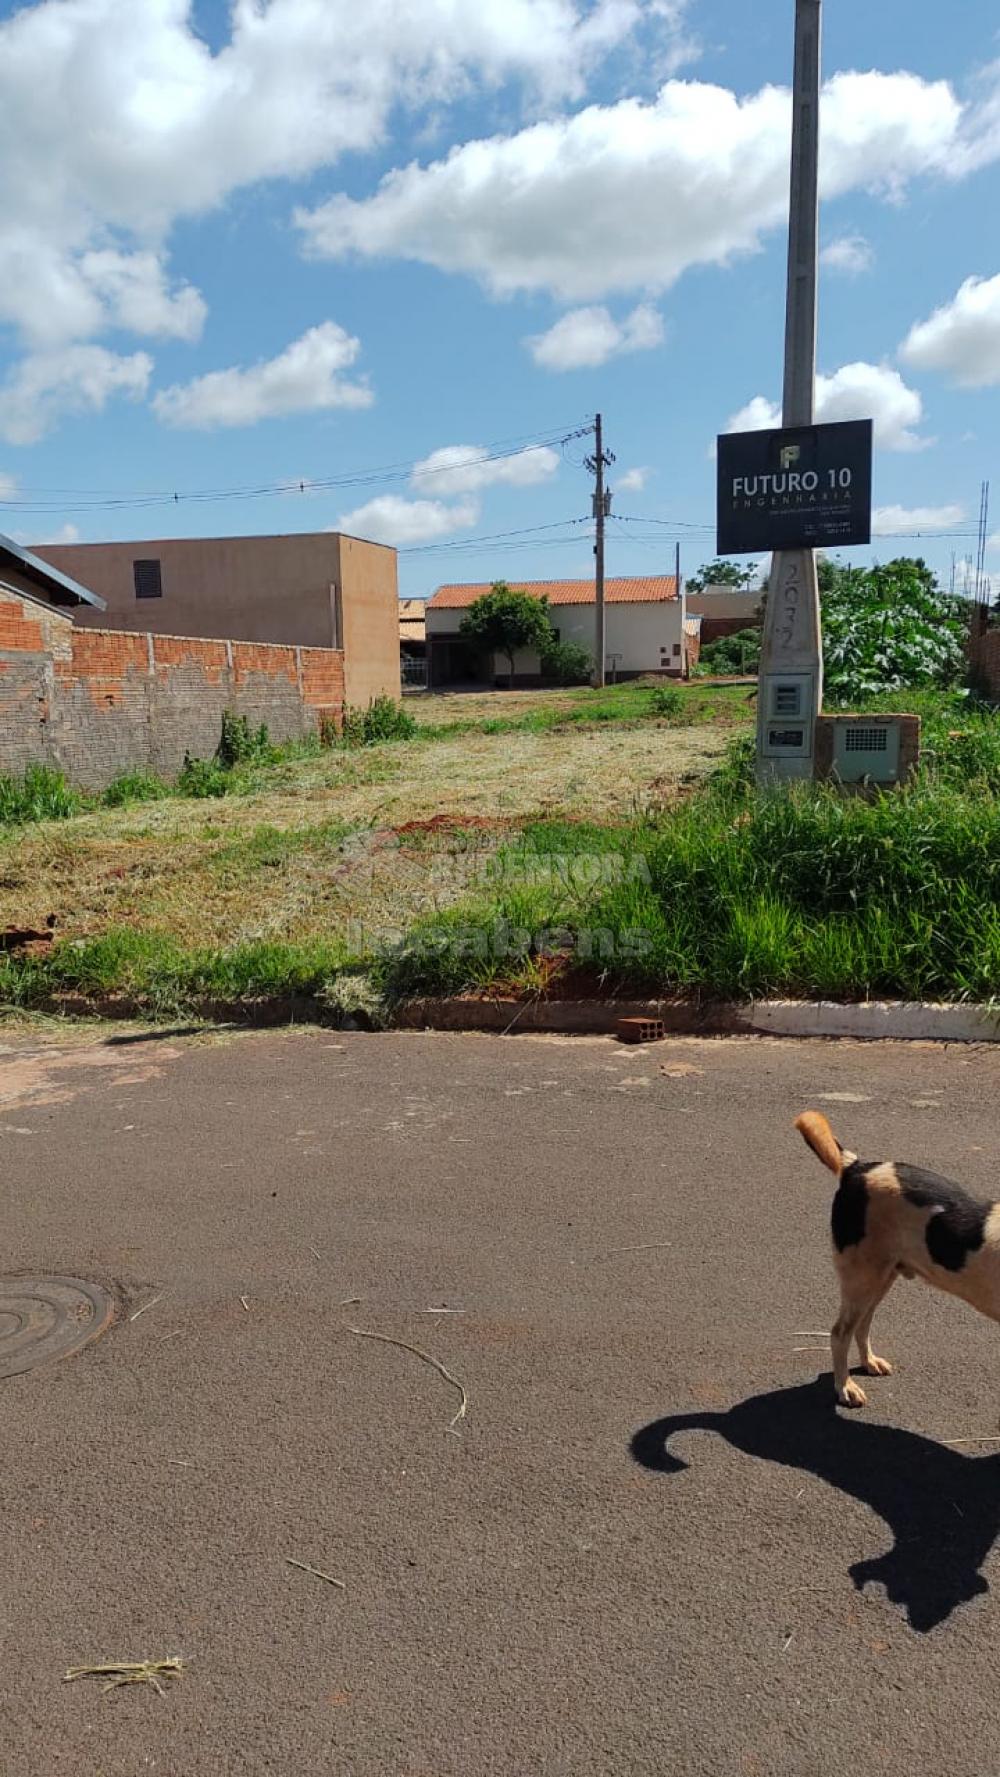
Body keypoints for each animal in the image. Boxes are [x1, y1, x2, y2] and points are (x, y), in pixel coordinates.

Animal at [795, 1101, 994, 1407]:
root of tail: (857, 1167)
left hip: (882, 1275)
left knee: (862, 1324)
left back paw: (869, 1363)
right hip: (861, 1279)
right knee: (840, 1332)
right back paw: (845, 1387)